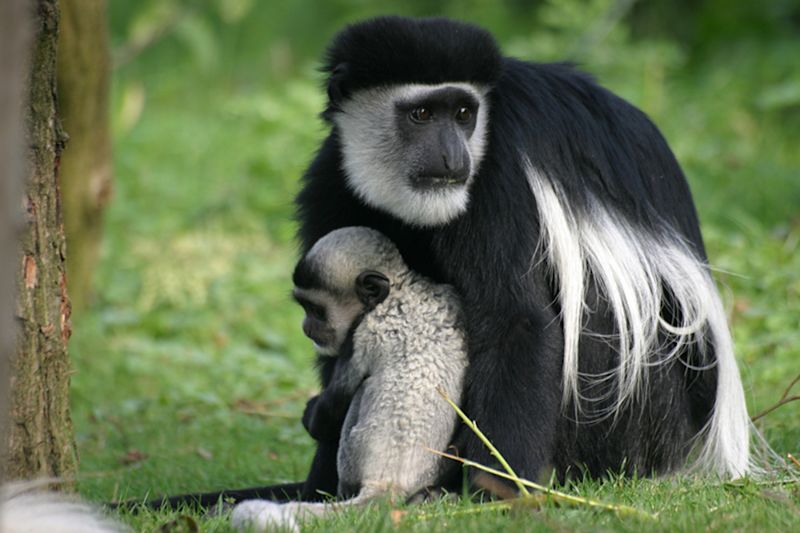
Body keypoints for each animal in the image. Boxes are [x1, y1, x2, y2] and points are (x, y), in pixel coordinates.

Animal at [230, 227, 468, 528]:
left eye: (316, 311)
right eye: (305, 307)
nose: (306, 328)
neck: (402, 288)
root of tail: (386, 484)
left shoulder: (361, 335)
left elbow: (329, 410)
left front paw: (311, 413)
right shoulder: (447, 295)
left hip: (351, 456)